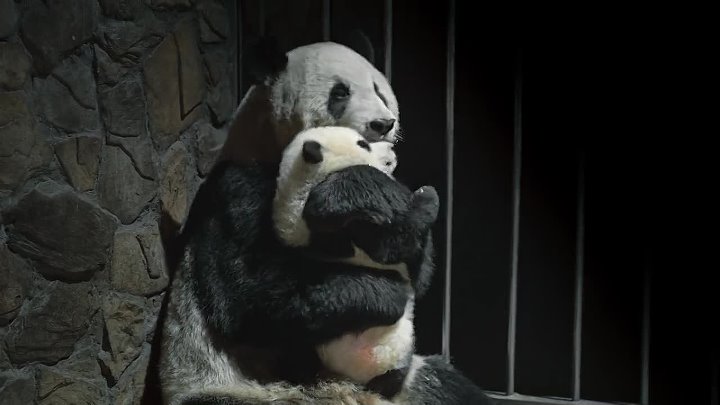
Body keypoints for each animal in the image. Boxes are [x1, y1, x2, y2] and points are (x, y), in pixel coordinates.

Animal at [271, 126, 439, 398]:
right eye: (363, 144)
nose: (391, 154)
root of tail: (354, 375)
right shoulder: (350, 226)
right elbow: (396, 245)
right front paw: (426, 196)